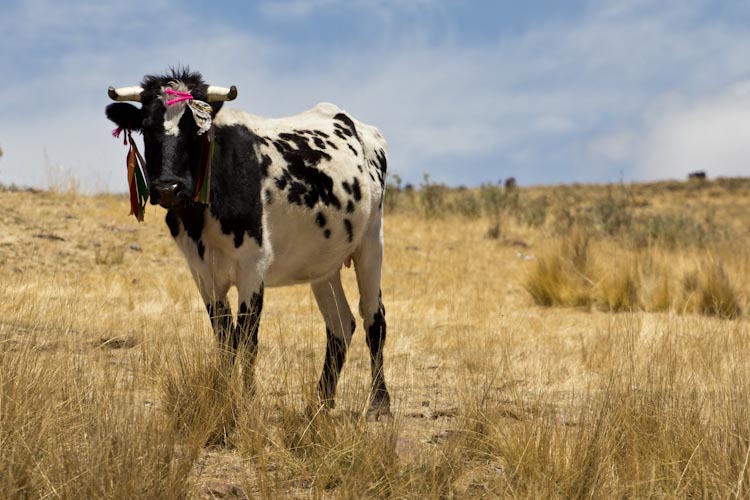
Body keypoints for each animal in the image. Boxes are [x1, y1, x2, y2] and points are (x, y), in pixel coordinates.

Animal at [108, 67, 396, 418]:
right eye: (147, 129)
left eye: (196, 130)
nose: (168, 188)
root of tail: (356, 124)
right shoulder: (202, 272)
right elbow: (224, 337)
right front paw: (224, 396)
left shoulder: (252, 265)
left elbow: (246, 338)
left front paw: (245, 401)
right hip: (323, 263)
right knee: (341, 324)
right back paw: (321, 404)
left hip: (371, 241)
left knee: (374, 318)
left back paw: (379, 405)